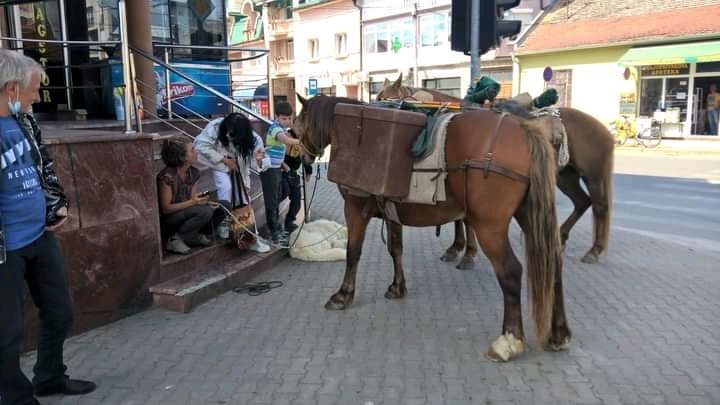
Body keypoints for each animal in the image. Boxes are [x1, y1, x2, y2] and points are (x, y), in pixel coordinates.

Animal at [292, 94, 568, 360]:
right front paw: (397, 287)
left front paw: (343, 294)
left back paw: (508, 341)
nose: (302, 159)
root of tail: (524, 129)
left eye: (297, 126)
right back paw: (559, 332)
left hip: (490, 228)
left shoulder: (355, 208)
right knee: (553, 263)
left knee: (511, 272)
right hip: (529, 216)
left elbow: (353, 253)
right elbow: (396, 249)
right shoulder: (392, 213)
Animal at [376, 75, 612, 266]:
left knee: (599, 206)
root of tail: (604, 129)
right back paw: (561, 237)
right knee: (582, 202)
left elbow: (465, 218)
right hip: (566, 177)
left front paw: (468, 253)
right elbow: (459, 217)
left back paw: (594, 250)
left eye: (389, 100)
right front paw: (457, 248)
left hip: (593, 177)